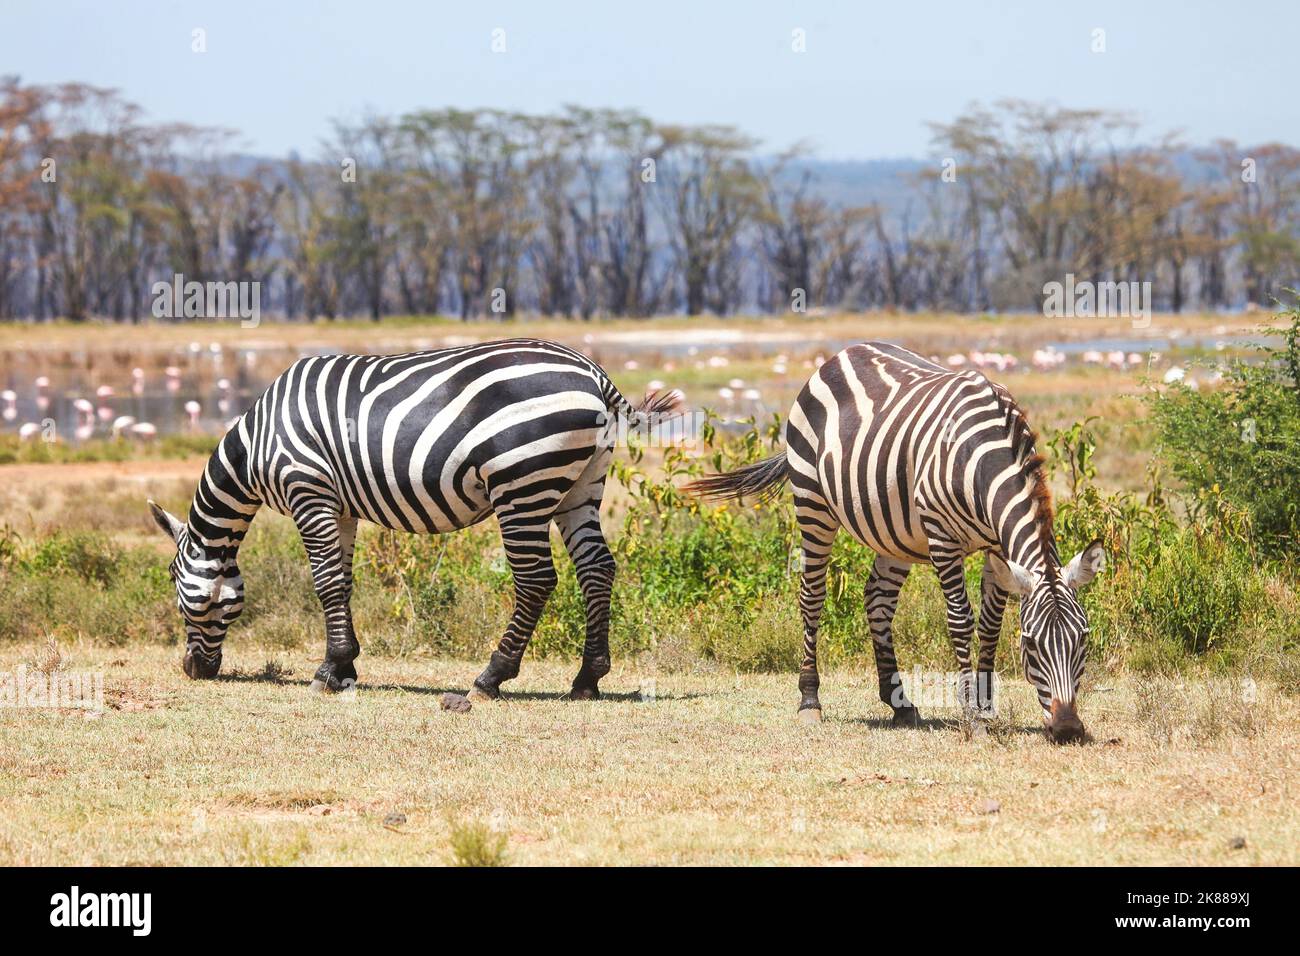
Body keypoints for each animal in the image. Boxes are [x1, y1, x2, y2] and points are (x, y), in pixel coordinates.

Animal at [147, 340, 686, 697]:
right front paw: (346, 666)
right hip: (579, 486)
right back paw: (587, 678)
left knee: (536, 579)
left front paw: (327, 672)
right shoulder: (340, 505)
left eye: (174, 584)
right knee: (597, 569)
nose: (194, 670)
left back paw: (490, 678)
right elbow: (343, 581)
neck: (257, 445)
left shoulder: (308, 488)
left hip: (522, 483)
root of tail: (594, 374)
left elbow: (324, 580)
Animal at [686, 340, 1102, 743]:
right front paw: (973, 718)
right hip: (812, 501)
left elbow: (990, 623)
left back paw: (898, 701)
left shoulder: (997, 546)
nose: (1067, 729)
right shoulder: (943, 540)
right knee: (812, 597)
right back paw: (809, 701)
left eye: (1083, 639)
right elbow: (961, 621)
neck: (983, 455)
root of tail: (841, 353)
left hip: (894, 532)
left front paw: (985, 708)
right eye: (1030, 644)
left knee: (878, 600)